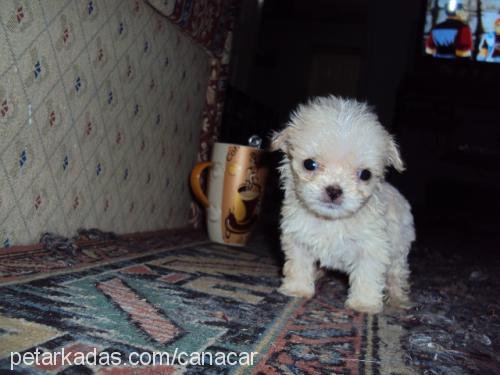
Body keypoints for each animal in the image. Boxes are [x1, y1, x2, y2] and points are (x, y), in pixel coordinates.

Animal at [272, 94, 416, 314]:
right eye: (309, 164)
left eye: (365, 174)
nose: (334, 190)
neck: (331, 221)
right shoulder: (298, 239)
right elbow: (299, 265)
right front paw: (298, 289)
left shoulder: (372, 247)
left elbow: (367, 275)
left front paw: (364, 304)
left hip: (399, 250)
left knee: (396, 275)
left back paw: (398, 300)